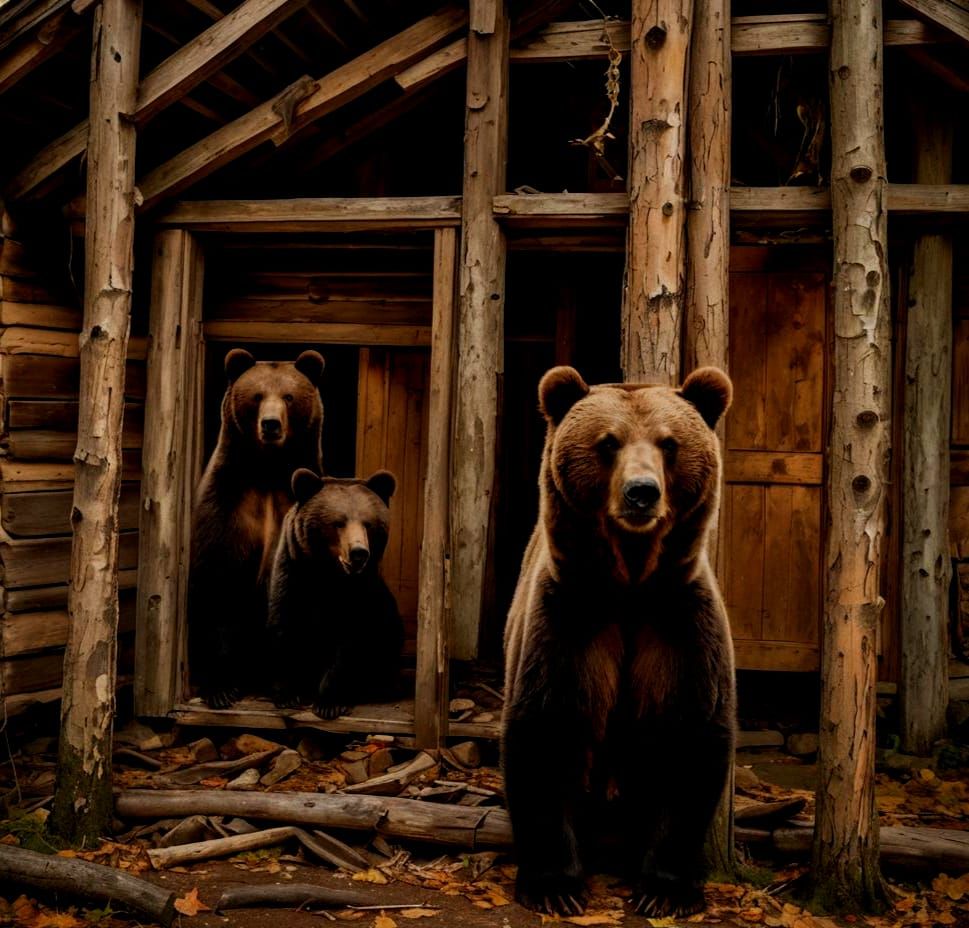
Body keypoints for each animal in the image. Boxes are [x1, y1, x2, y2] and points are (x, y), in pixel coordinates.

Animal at [188, 347, 325, 710]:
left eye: (289, 396)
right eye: (257, 395)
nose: (271, 424)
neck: (267, 470)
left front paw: (290, 689)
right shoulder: (226, 502)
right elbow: (216, 581)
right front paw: (220, 688)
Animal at [267, 467, 403, 720]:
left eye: (368, 524)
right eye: (338, 523)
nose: (359, 552)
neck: (329, 575)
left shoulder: (359, 591)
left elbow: (349, 643)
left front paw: (329, 703)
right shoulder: (293, 573)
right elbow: (284, 624)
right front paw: (288, 695)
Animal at [502, 365, 736, 919]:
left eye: (669, 443)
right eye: (608, 442)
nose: (641, 493)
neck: (629, 583)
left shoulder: (677, 620)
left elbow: (689, 734)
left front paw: (665, 889)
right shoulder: (572, 614)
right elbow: (548, 726)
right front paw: (555, 885)